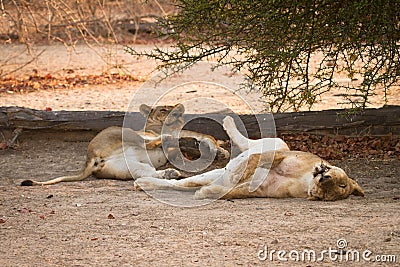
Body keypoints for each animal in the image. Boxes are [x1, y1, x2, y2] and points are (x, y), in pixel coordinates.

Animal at [135, 115, 366, 201]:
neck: (305, 180)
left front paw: (207, 192)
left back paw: (143, 183)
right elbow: (256, 163)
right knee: (247, 143)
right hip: (278, 142)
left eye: (335, 190)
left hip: (211, 175)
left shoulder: (260, 190)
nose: (324, 178)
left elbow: (232, 191)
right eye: (342, 184)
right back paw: (228, 123)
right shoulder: (276, 156)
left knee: (179, 184)